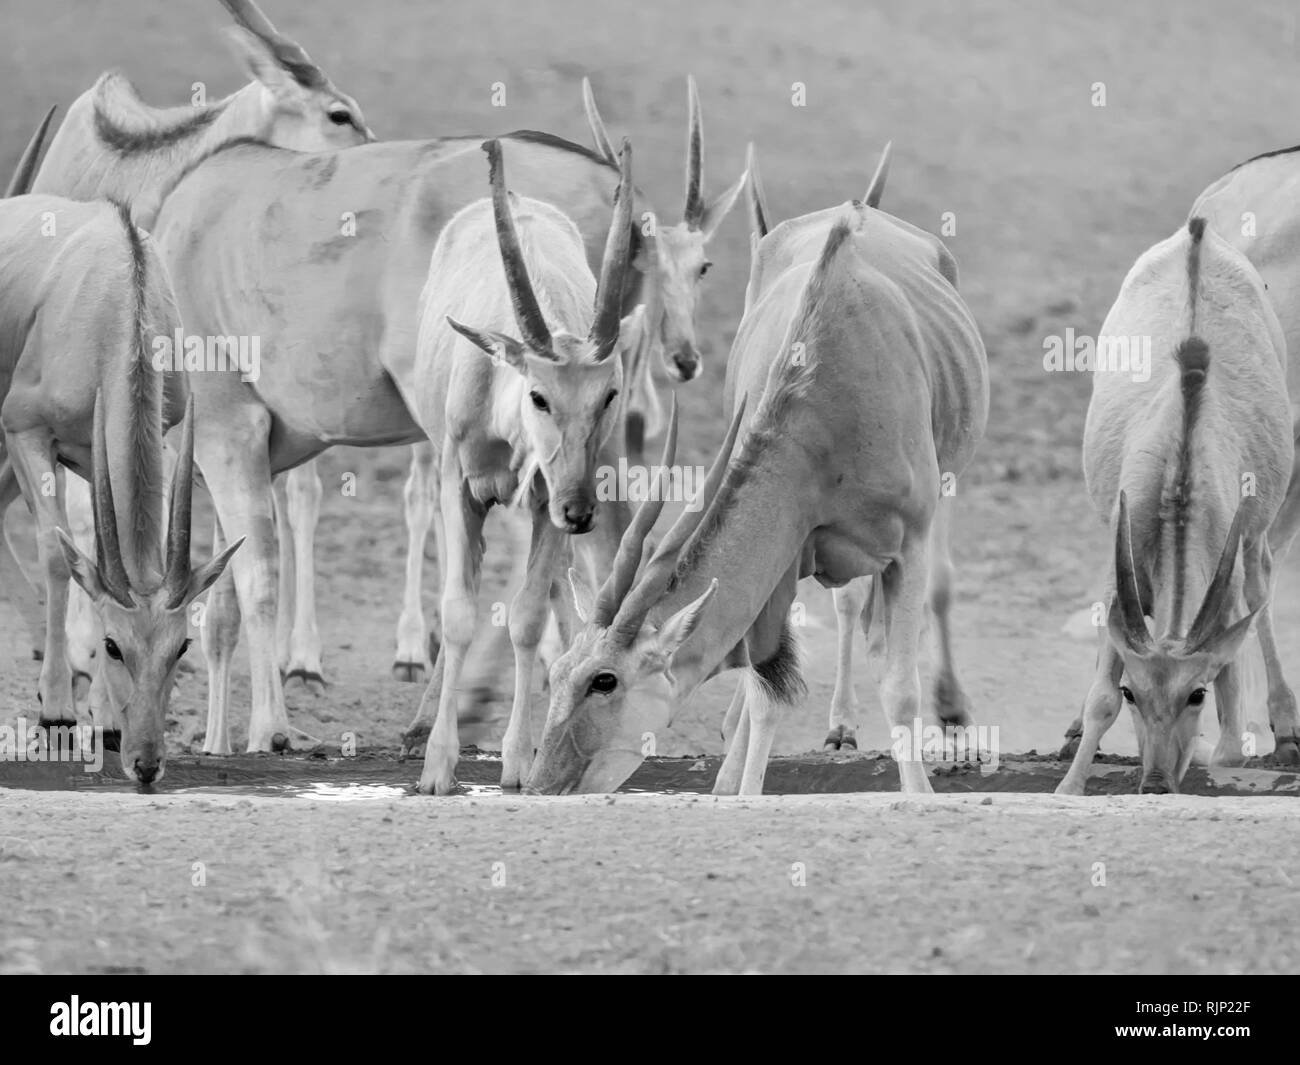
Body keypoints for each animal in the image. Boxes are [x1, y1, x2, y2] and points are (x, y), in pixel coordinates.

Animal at [522, 154, 987, 795]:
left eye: (605, 679)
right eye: (560, 672)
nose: (542, 785)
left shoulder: (908, 544)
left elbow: (898, 686)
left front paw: (920, 795)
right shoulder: (788, 555)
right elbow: (766, 693)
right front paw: (734, 791)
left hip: (939, 498)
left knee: (901, 609)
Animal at [1055, 221, 1300, 795]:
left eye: (1195, 694)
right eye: (1133, 694)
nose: (1155, 784)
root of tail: (1198, 235)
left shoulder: (1224, 589)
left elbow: (1230, 731)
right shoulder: (1116, 576)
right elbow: (1099, 696)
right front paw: (1069, 785)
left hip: (1255, 540)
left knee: (1262, 589)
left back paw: (1286, 728)